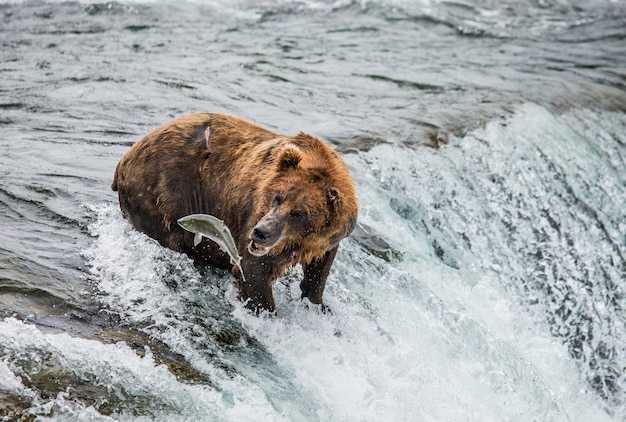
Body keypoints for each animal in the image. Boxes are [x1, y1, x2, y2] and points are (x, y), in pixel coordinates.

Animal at [111, 113, 356, 314]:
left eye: (298, 213)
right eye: (277, 198)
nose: (261, 232)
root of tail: (125, 158)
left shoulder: (329, 237)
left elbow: (319, 269)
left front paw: (318, 303)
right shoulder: (254, 213)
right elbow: (253, 272)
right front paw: (266, 312)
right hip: (162, 197)